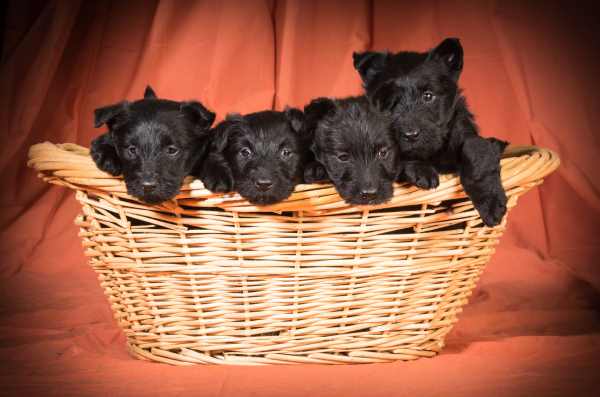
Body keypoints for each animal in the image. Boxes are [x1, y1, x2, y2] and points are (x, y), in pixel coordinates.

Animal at [354, 39, 508, 226]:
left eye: (428, 96)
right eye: (388, 102)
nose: (411, 135)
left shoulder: (464, 130)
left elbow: (475, 150)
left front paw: (491, 204)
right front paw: (421, 170)